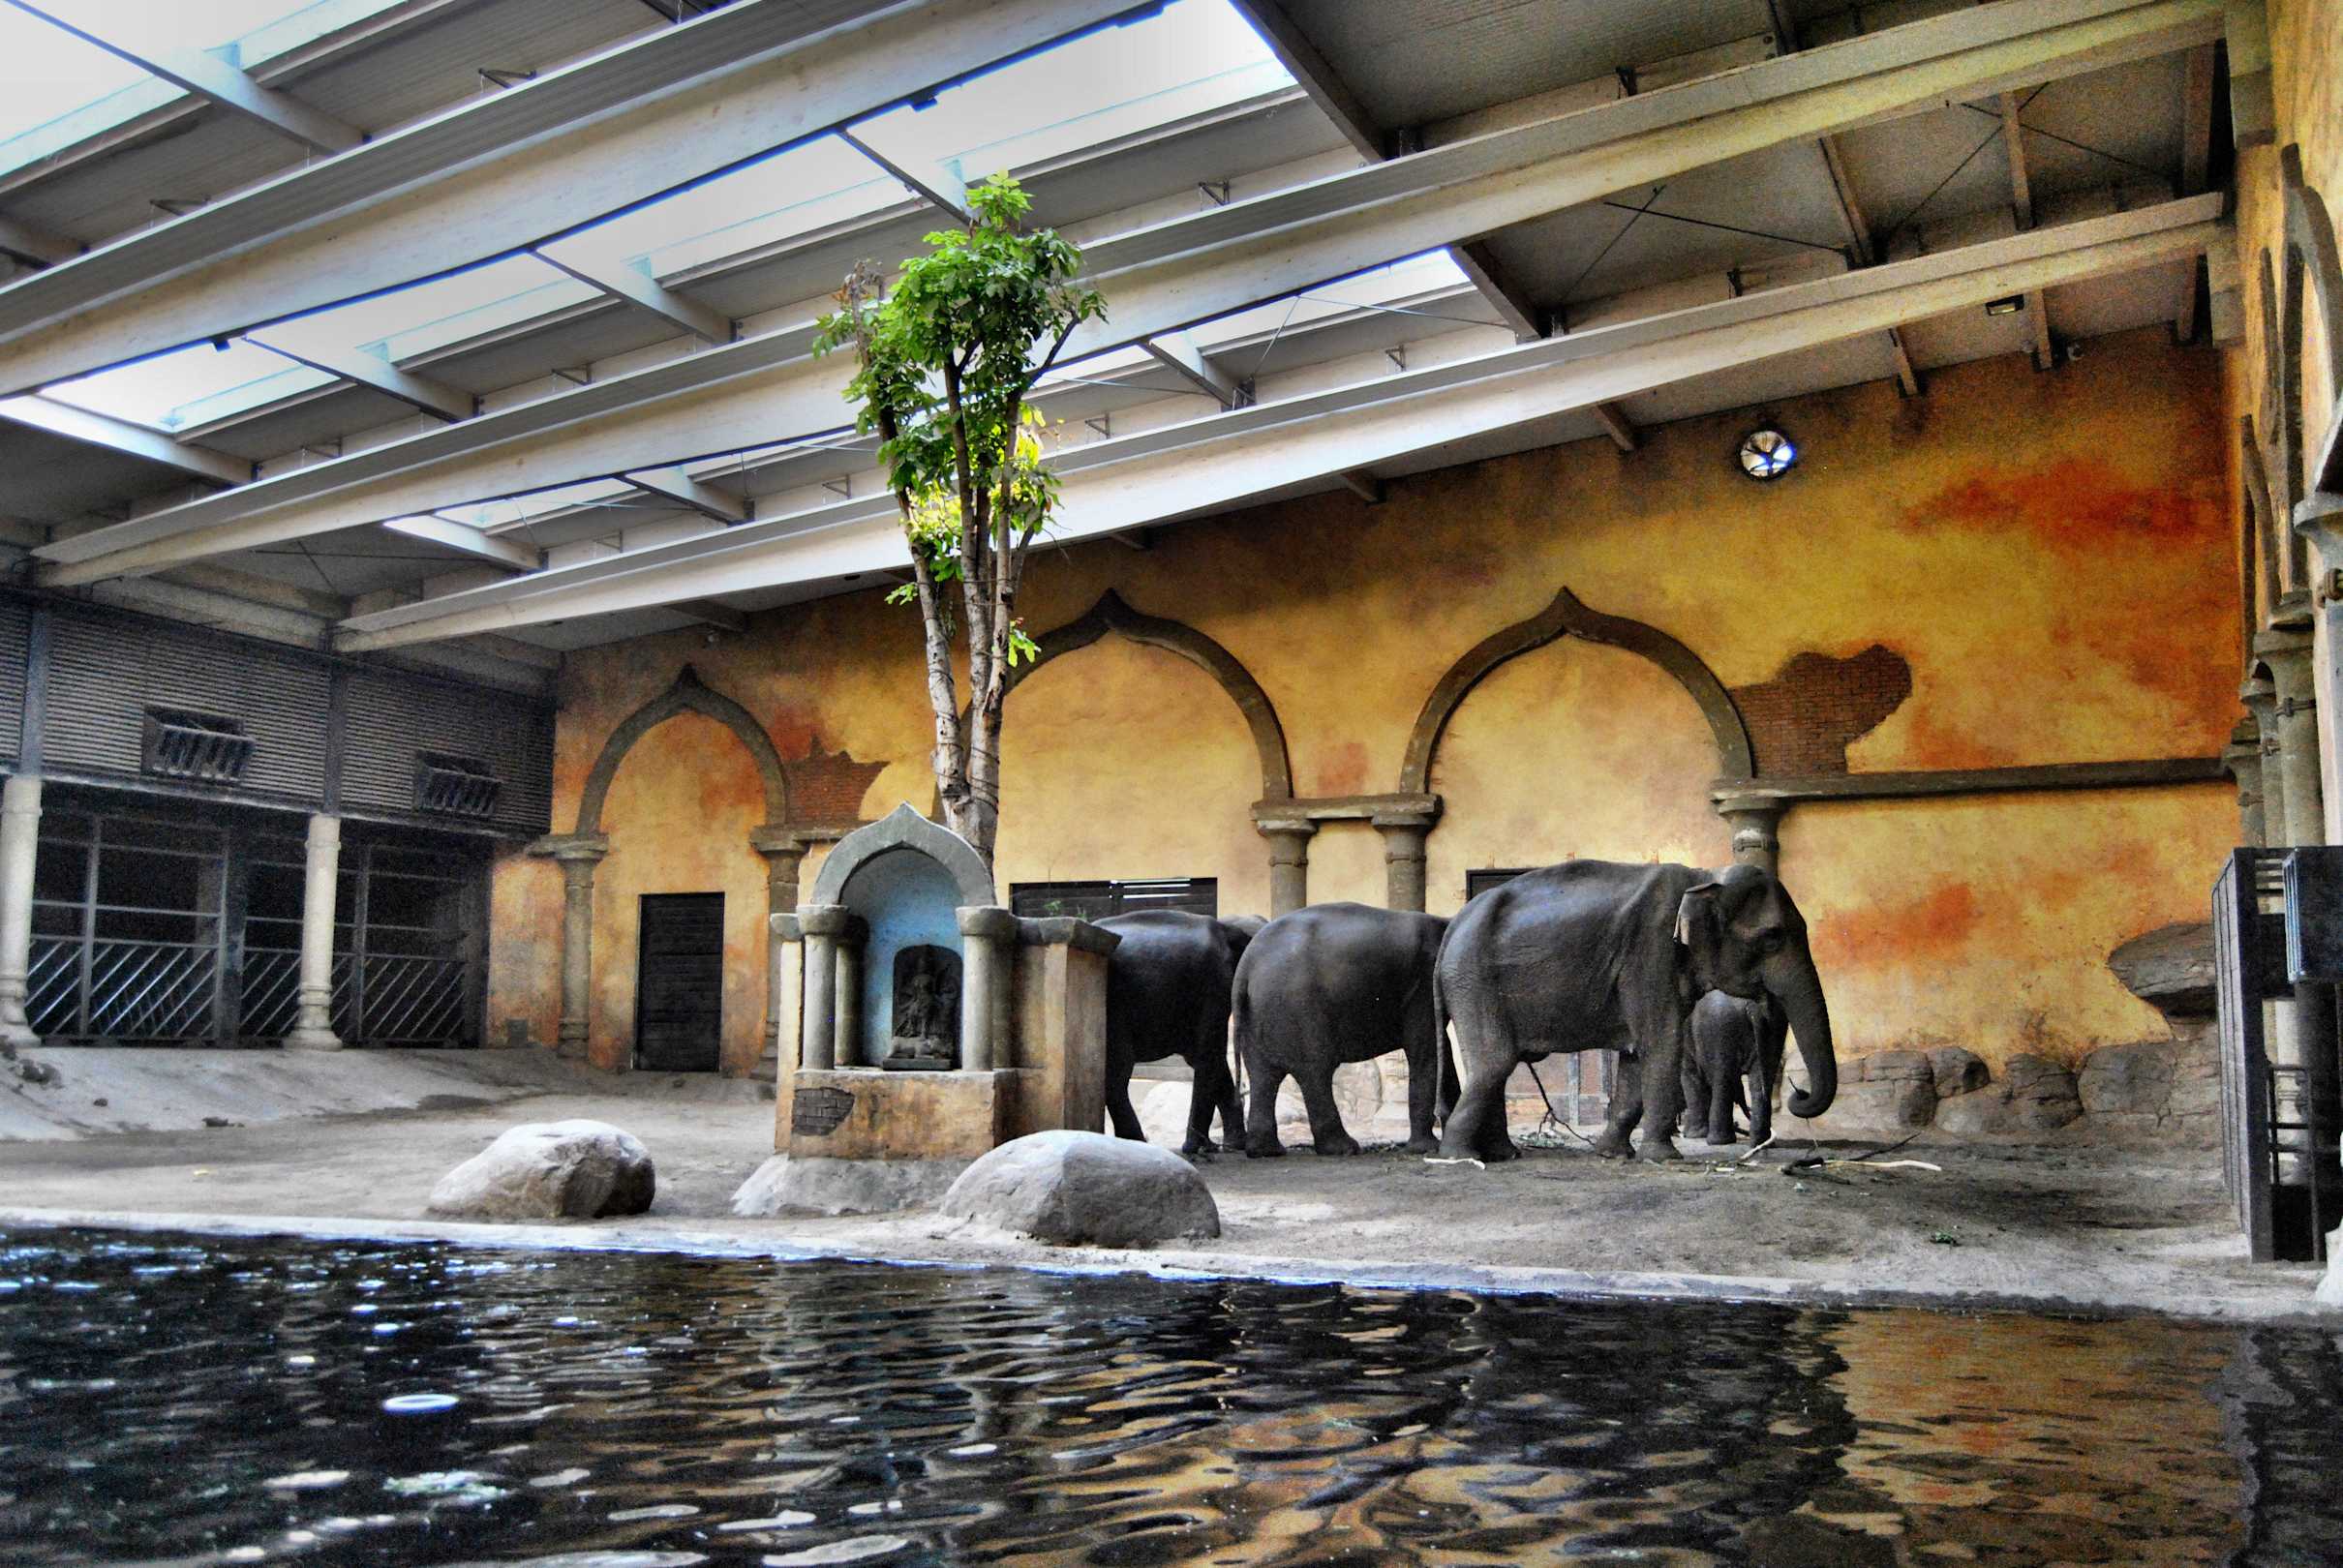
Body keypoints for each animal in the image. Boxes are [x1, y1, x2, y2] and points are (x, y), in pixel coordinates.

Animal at [1098, 910, 1266, 1155]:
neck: (1228, 926)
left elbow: (1204, 1059)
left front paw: (1231, 1146)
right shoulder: (1214, 984)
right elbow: (1209, 1054)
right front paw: (1195, 1147)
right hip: (1114, 1005)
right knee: (1117, 1070)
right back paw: (1137, 1142)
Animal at [1232, 902, 1450, 1157]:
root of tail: (1246, 966)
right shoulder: (1423, 985)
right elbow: (1427, 1049)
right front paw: (1428, 1148)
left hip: (1256, 1013)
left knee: (1263, 1075)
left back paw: (1268, 1151)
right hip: (1297, 1006)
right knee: (1314, 1071)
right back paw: (1344, 1148)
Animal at [1679, 991, 1788, 1147]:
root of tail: (1752, 1006)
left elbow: (1690, 1078)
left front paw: (1693, 1135)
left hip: (1722, 1031)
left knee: (1721, 1079)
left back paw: (1718, 1141)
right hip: (1772, 1030)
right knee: (1761, 1080)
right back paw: (1761, 1142)